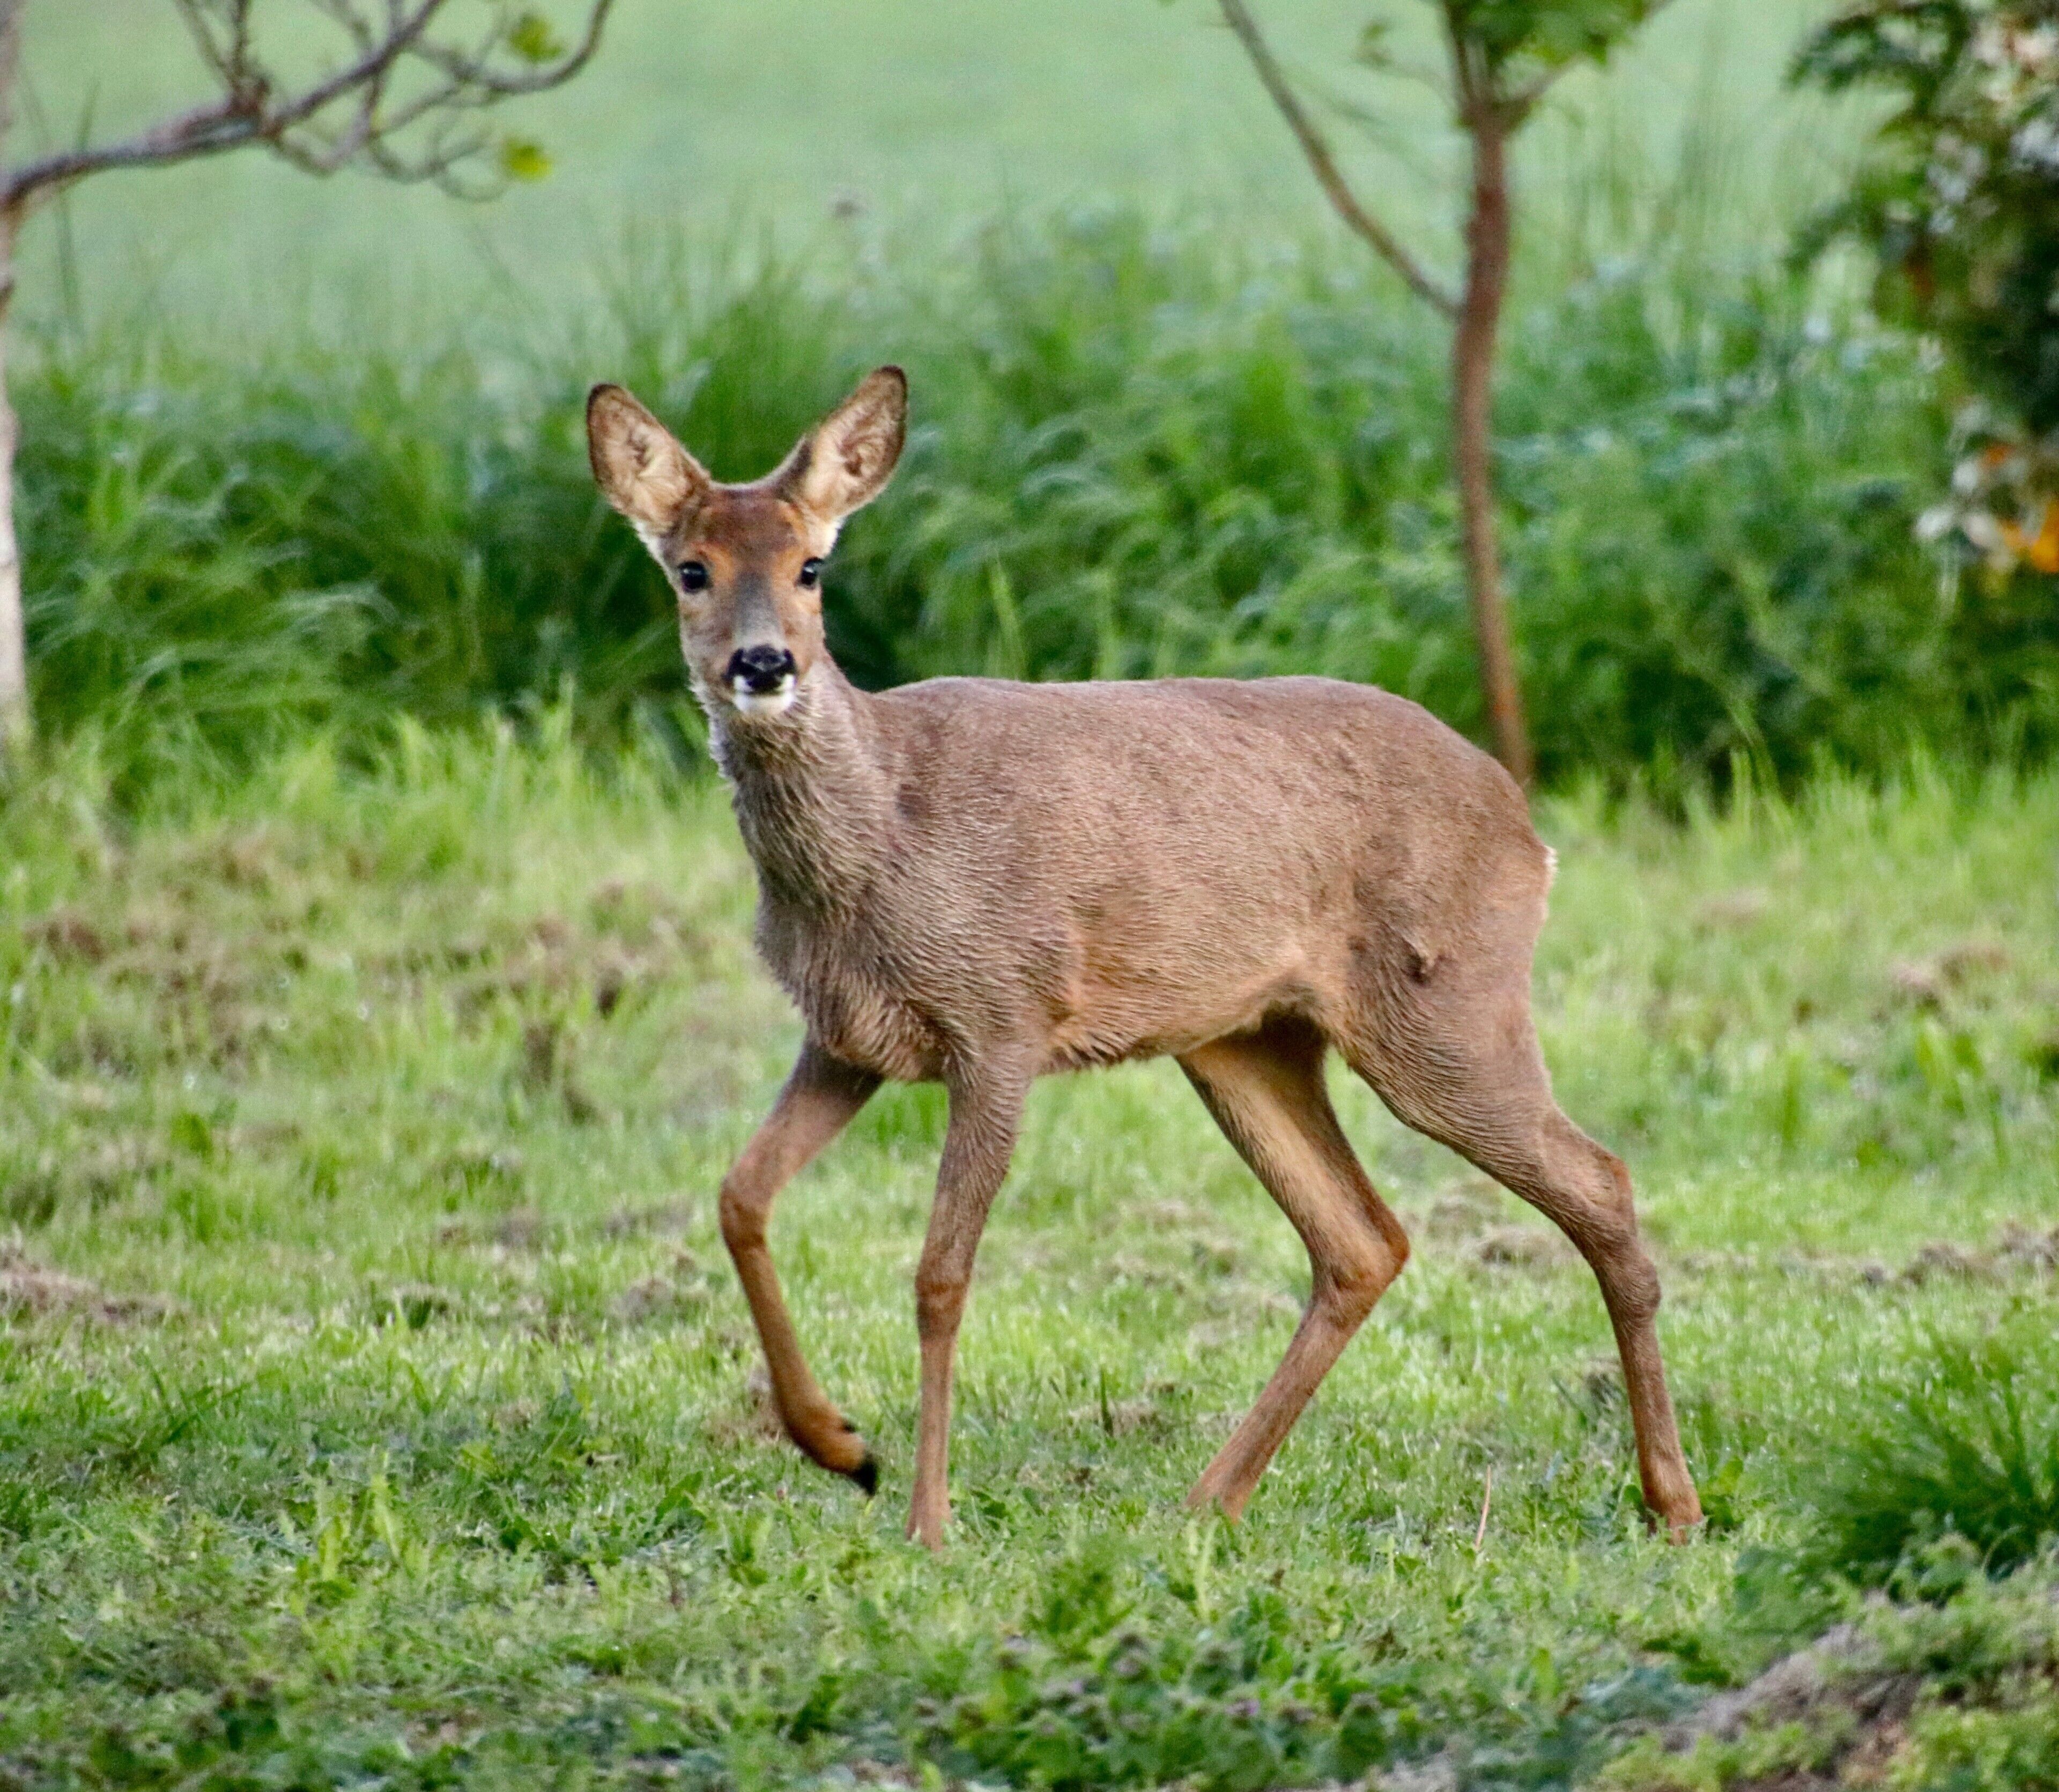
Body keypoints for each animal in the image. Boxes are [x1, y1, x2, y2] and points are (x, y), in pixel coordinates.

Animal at [586, 366, 1705, 1550]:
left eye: (812, 566)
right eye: (691, 569)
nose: (764, 664)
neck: (879, 839)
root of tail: (1530, 828)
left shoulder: (1002, 1015)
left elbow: (942, 1274)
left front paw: (927, 1519)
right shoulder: (848, 1037)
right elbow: (739, 1197)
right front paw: (840, 1447)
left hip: (1449, 1005)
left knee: (1600, 1179)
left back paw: (1672, 1499)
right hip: (1245, 1041)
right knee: (1363, 1239)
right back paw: (1211, 1498)